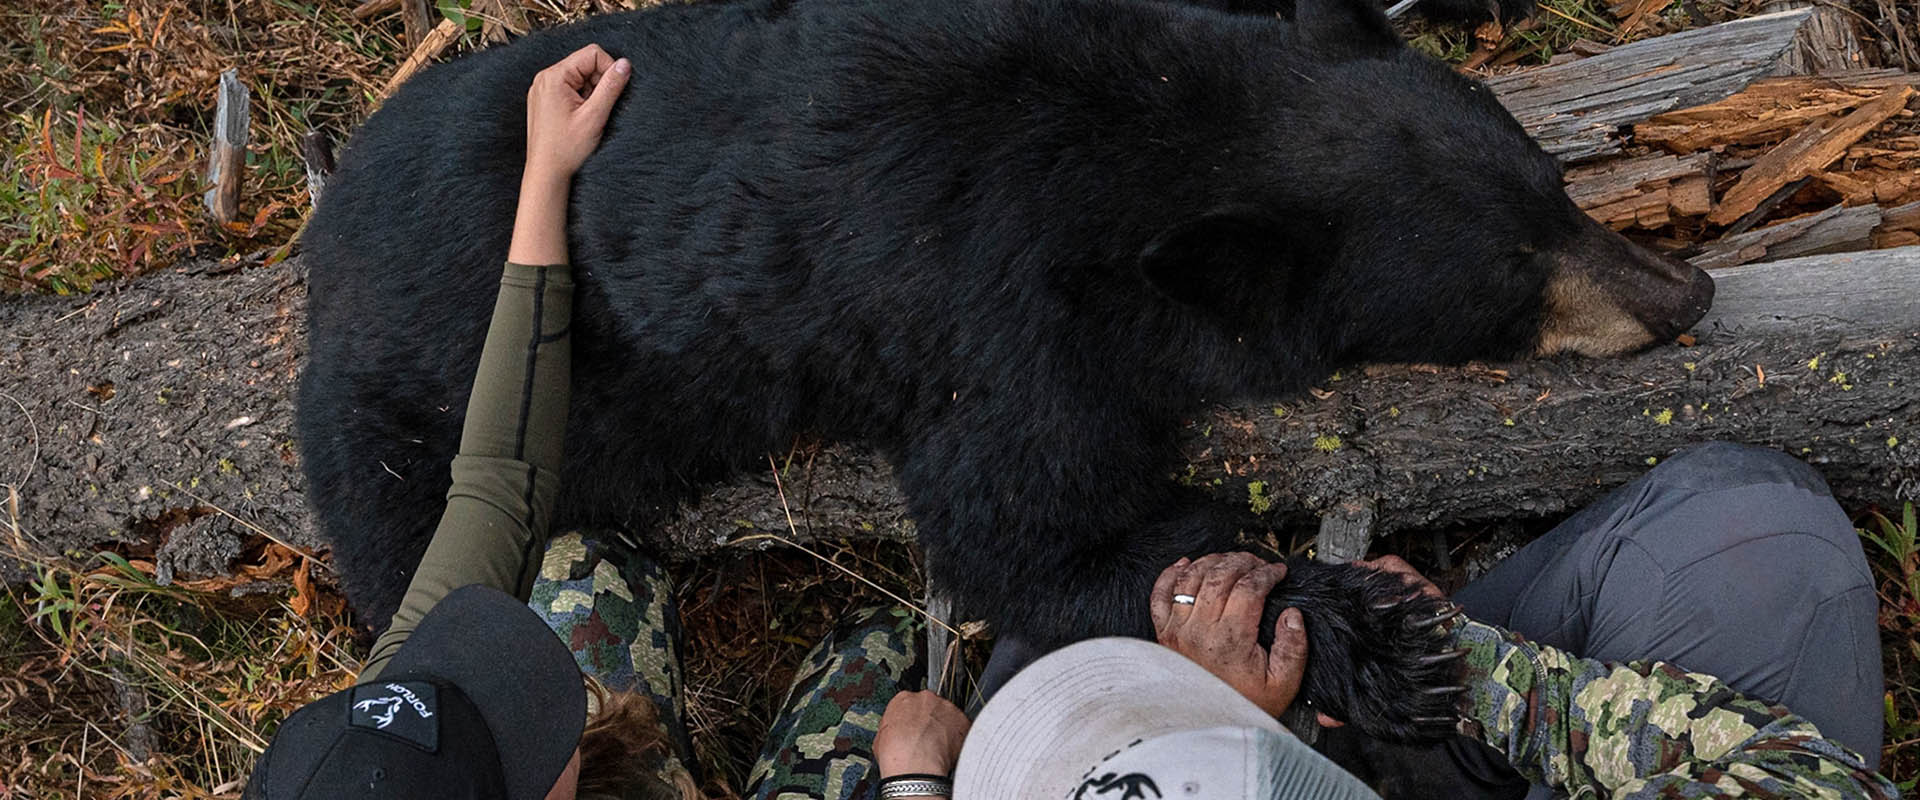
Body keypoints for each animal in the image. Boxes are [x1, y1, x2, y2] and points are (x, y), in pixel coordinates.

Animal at [298, 0, 1712, 741]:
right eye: (1510, 273)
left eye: (1554, 187)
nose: (1684, 293)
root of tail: (319, 225)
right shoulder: (998, 318)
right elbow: (1022, 535)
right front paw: (1373, 632)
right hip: (418, 405)